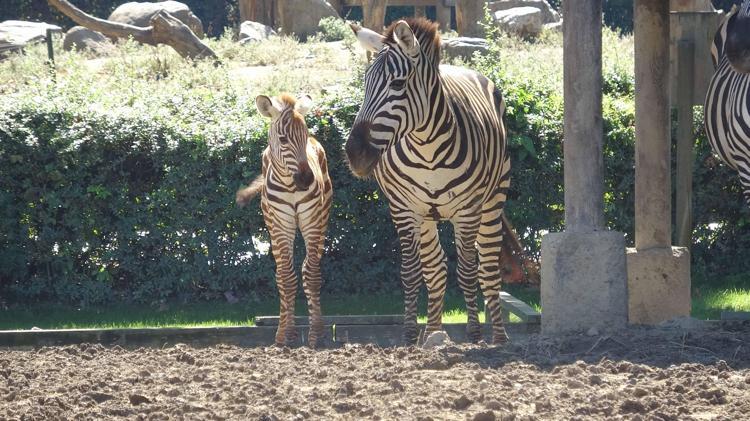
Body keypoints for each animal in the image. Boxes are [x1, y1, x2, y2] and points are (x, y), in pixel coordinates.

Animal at [236, 93, 333, 347]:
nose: (307, 179)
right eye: (283, 139)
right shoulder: (280, 225)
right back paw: (280, 332)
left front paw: (316, 335)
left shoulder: (312, 221)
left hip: (323, 219)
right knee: (280, 274)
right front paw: (287, 336)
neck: (290, 185)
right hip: (272, 226)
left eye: (305, 134)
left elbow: (311, 274)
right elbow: (287, 278)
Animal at [346, 18, 511, 345]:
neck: (427, 149)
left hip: (493, 201)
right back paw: (434, 333)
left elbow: (468, 271)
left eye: (398, 85)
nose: (354, 154)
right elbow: (411, 273)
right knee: (435, 269)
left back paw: (498, 338)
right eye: (365, 83)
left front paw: (474, 334)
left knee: (487, 268)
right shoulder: (403, 209)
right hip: (426, 217)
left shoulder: (468, 211)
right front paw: (410, 337)